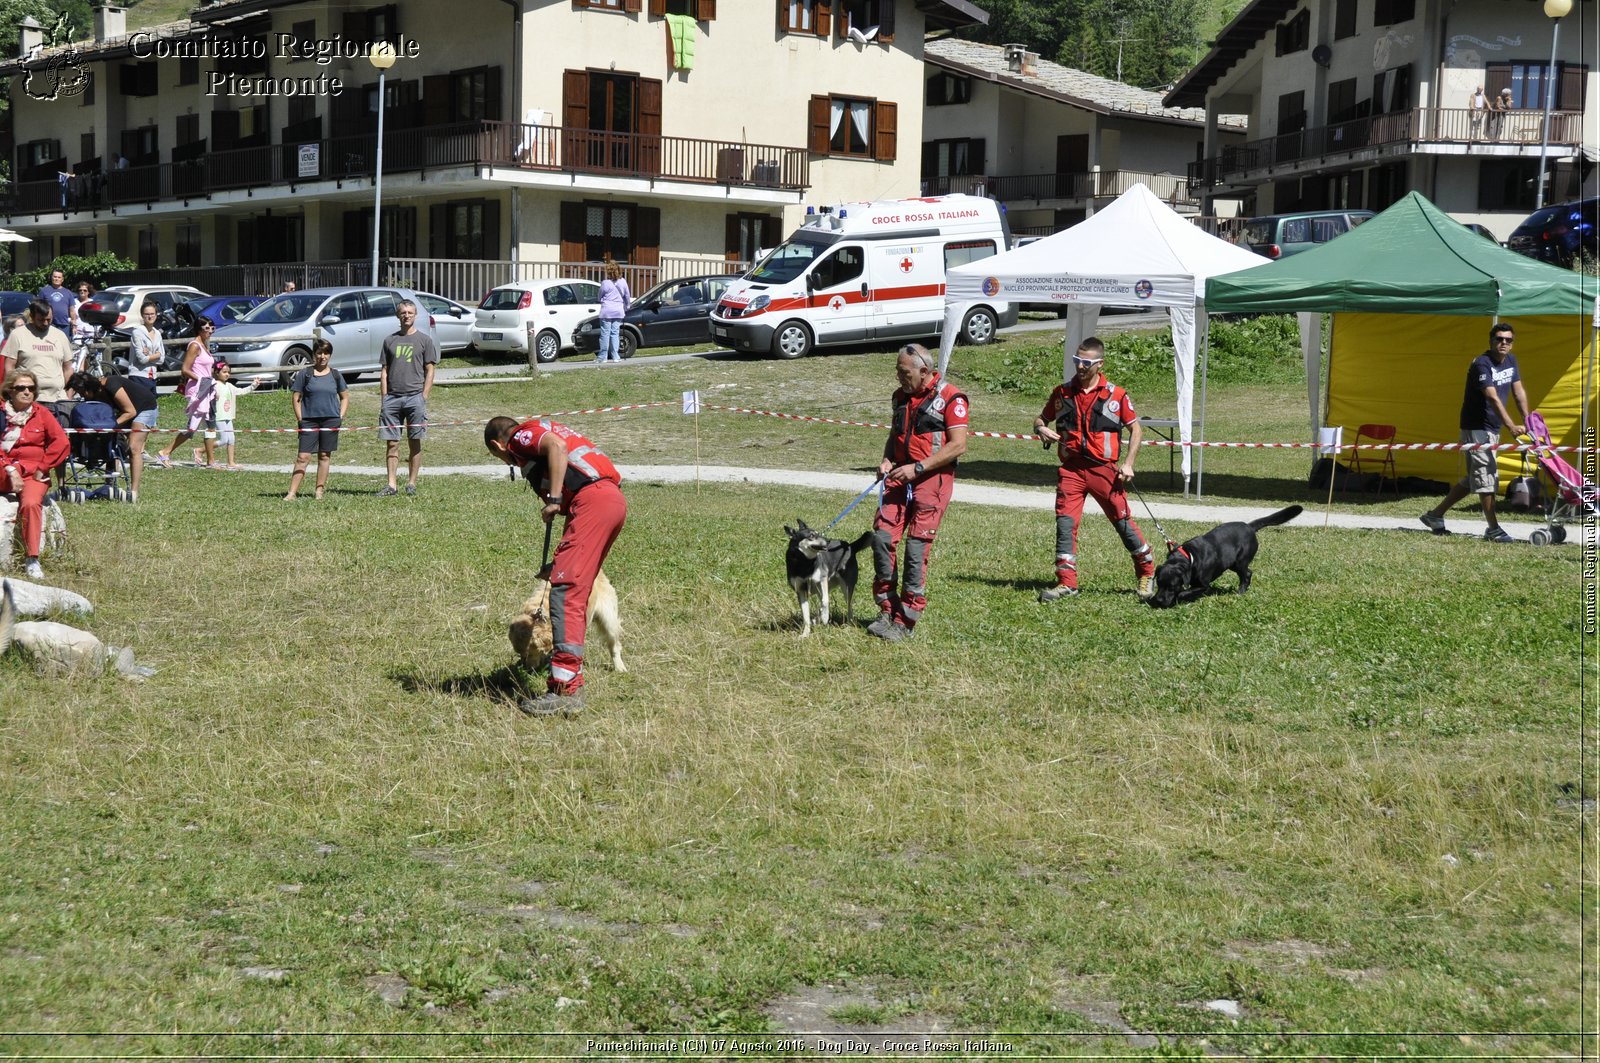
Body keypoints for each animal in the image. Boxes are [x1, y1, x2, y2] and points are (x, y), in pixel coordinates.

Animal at [1145, 505, 1305, 611]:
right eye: (1158, 583)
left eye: (1172, 586)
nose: (1159, 600)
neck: (1190, 557)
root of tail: (1249, 527)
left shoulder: (1204, 585)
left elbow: (1185, 592)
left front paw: (1178, 598)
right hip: (1233, 563)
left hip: (1240, 561)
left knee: (1247, 574)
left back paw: (1240, 591)